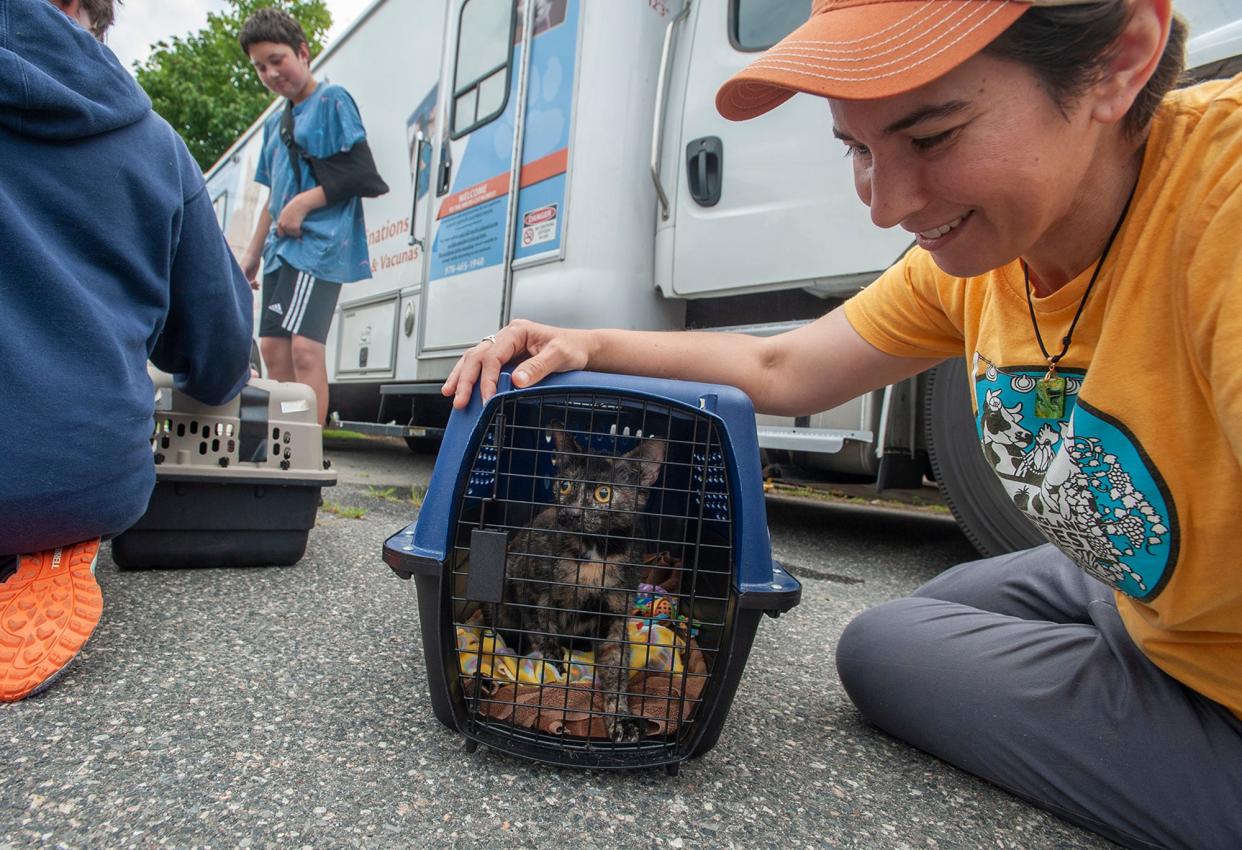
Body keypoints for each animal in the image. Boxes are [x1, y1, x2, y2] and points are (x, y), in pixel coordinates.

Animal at [496, 422, 665, 740]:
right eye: (565, 486)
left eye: (603, 493)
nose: (570, 514)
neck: (595, 551)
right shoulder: (533, 592)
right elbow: (546, 638)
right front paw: (558, 680)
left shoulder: (615, 616)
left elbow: (616, 670)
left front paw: (621, 717)